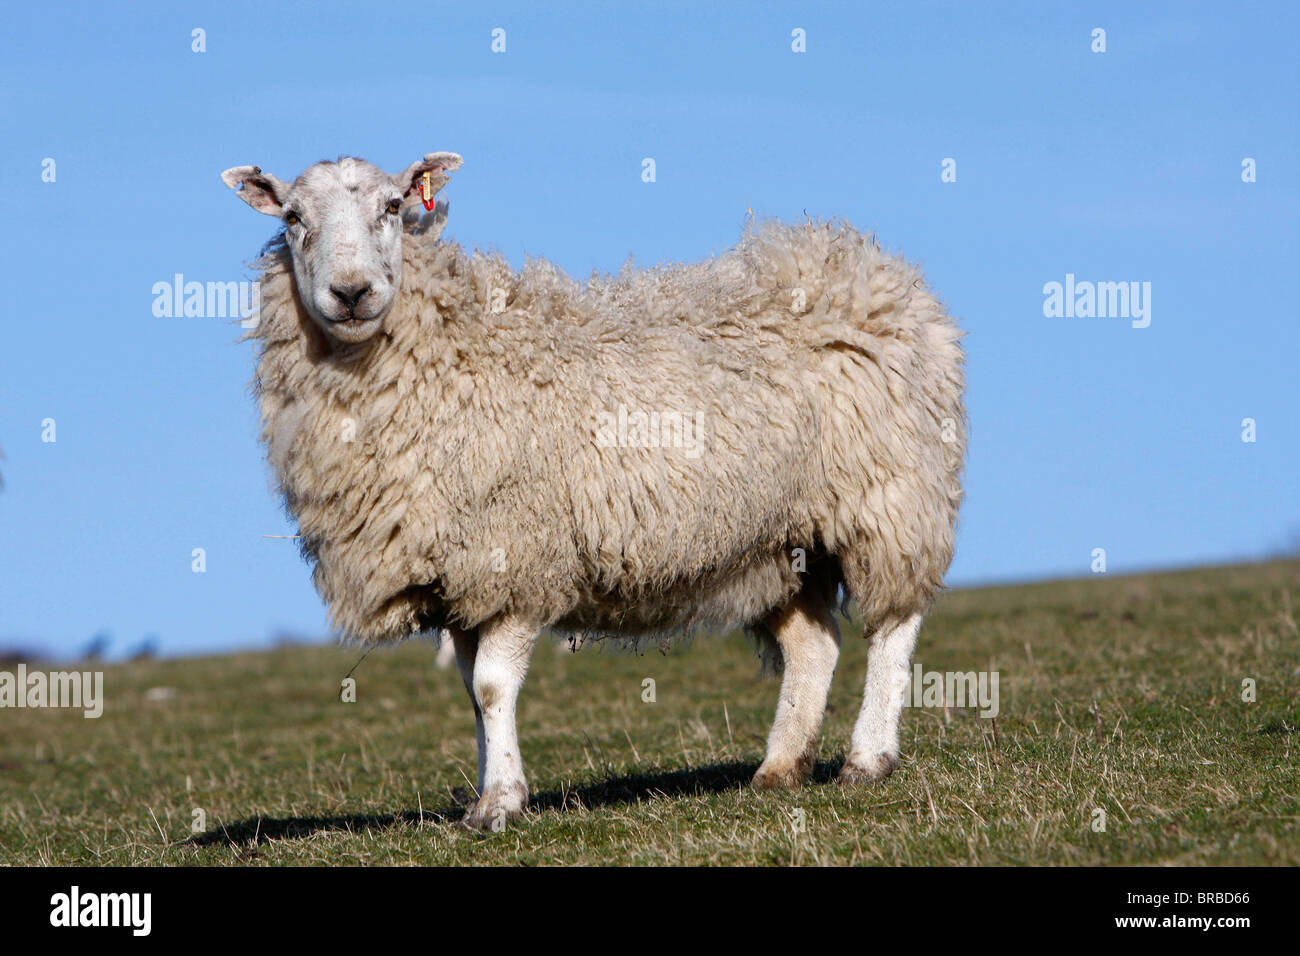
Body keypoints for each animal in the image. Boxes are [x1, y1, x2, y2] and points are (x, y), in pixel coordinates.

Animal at [220, 153, 967, 827]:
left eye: (394, 206)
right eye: (292, 218)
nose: (351, 293)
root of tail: (871, 266)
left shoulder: (520, 559)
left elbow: (493, 685)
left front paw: (502, 803)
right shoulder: (459, 577)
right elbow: (470, 693)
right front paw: (489, 796)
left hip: (888, 495)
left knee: (893, 624)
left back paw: (868, 759)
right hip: (779, 538)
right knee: (815, 645)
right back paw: (780, 768)